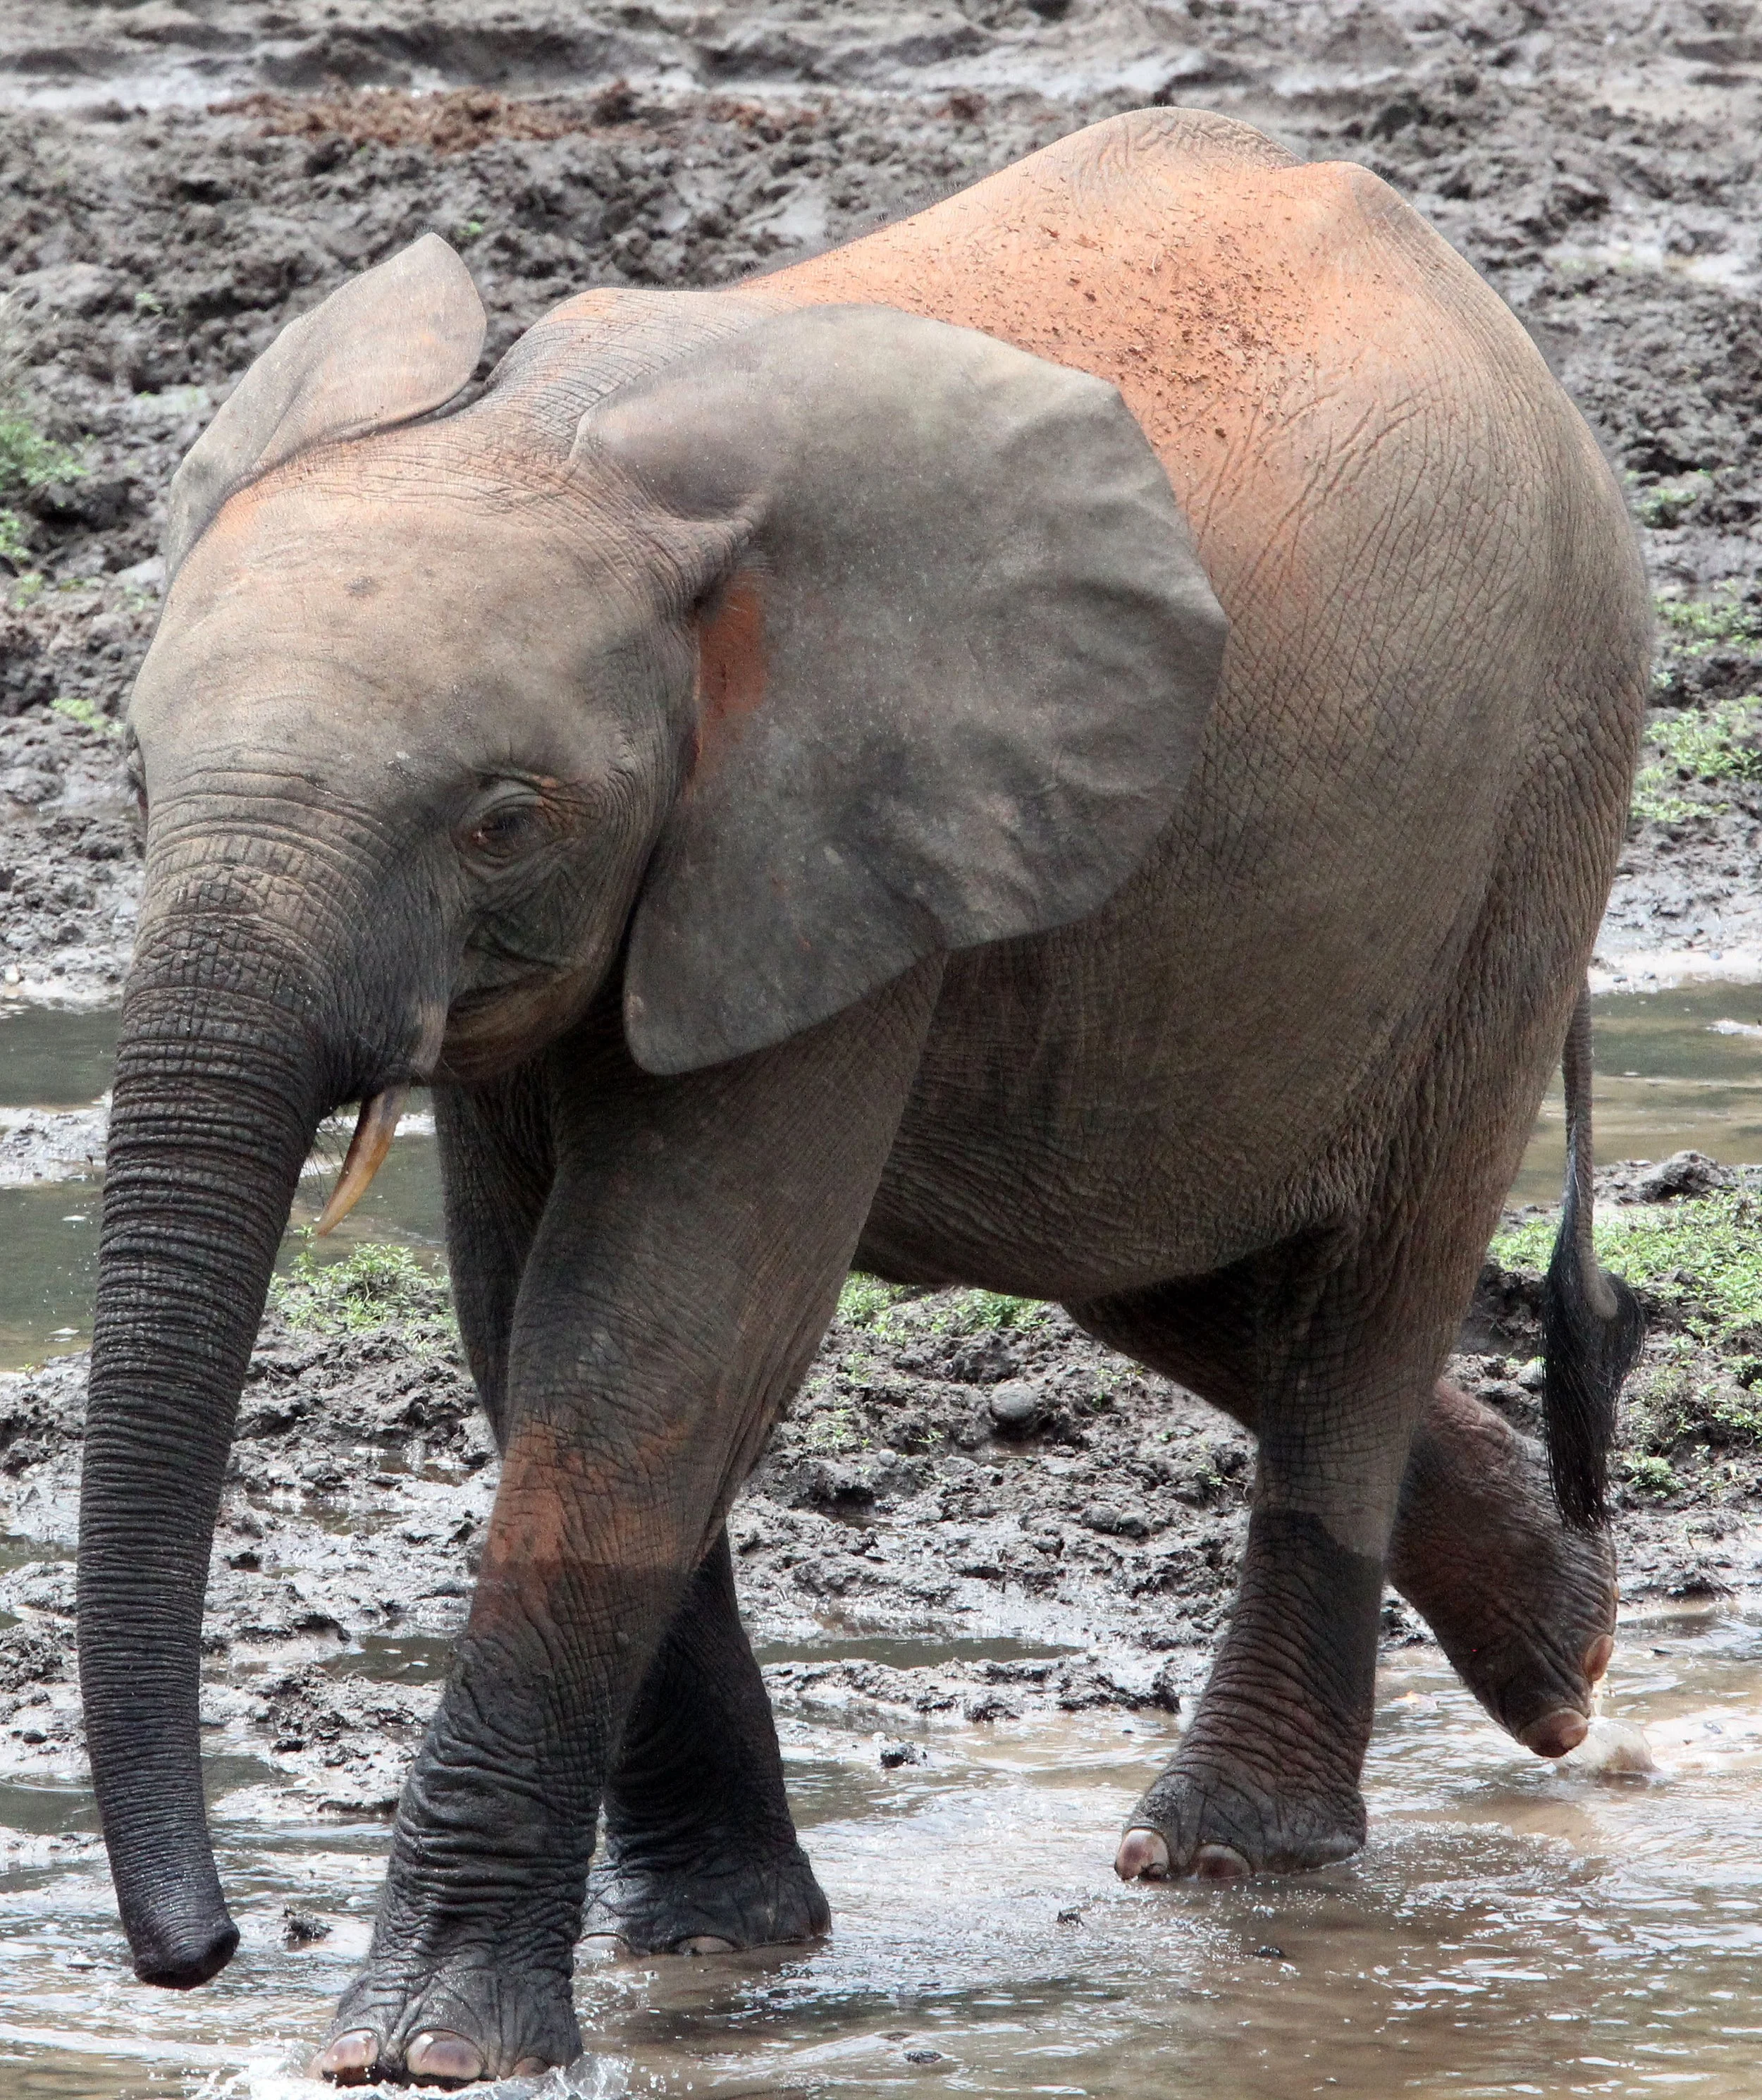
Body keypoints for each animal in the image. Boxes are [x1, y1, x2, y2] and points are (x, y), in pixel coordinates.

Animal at [75, 106, 1648, 2086]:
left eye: (500, 818)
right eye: (136, 782)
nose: (197, 1955)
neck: (552, 441)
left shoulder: (833, 823)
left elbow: (655, 1333)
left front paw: (427, 2043)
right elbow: (529, 1315)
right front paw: (717, 1942)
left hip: (1536, 797)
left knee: (1365, 1289)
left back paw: (1235, 1853)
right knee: (1156, 1256)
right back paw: (1561, 1648)